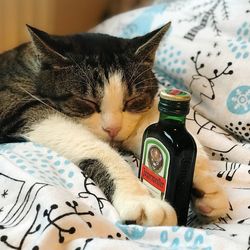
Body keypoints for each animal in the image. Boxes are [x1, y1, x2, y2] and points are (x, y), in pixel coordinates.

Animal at [0, 23, 229, 226]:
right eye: (87, 102)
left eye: (132, 100)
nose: (112, 129)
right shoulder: (18, 104)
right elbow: (93, 146)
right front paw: (140, 199)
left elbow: (149, 131)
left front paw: (204, 183)